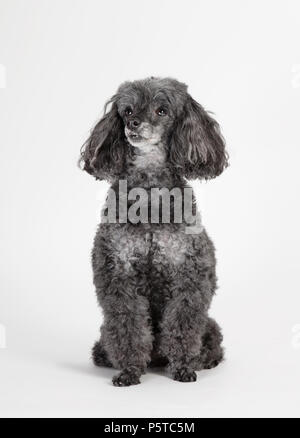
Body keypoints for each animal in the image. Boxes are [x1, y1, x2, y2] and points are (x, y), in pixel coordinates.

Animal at [79, 77, 227, 384]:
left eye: (162, 111)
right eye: (127, 110)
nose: (133, 123)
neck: (148, 197)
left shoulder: (189, 274)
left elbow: (182, 323)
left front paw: (182, 367)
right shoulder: (118, 271)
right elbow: (128, 325)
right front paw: (129, 371)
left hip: (210, 328)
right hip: (102, 337)